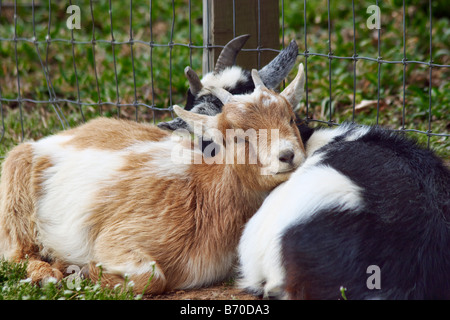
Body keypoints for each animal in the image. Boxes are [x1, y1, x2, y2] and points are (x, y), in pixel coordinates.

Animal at [0, 65, 306, 296]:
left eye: (291, 119)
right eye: (238, 137)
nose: (287, 155)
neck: (204, 193)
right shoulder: (120, 235)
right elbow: (151, 276)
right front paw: (89, 272)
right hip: (16, 196)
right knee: (19, 254)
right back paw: (49, 273)